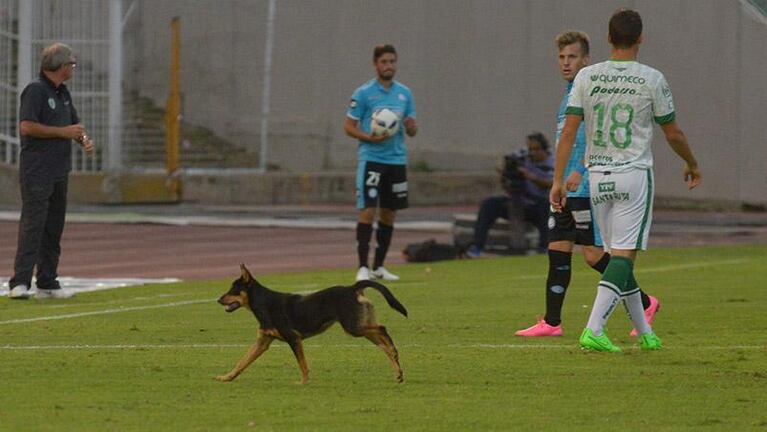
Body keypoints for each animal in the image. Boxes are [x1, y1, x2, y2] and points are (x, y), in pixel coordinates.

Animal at [216, 264, 408, 384]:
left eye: (233, 290)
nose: (219, 300)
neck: (264, 303)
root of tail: (352, 288)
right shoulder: (262, 343)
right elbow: (242, 362)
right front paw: (226, 377)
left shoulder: (294, 339)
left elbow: (303, 364)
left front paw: (303, 382)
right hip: (360, 327)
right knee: (383, 343)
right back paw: (397, 368)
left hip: (354, 327)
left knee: (382, 329)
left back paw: (393, 352)